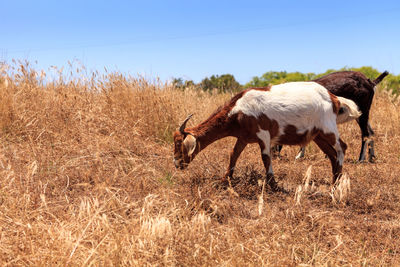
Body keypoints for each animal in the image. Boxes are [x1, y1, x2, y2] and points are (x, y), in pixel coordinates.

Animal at [172, 81, 360, 191]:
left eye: (179, 143)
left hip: (328, 129)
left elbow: (265, 157)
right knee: (331, 154)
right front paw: (225, 179)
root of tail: (334, 98)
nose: (177, 164)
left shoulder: (263, 134)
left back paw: (337, 185)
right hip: (318, 135)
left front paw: (272, 184)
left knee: (342, 148)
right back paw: (334, 182)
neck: (237, 110)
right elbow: (234, 154)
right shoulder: (243, 137)